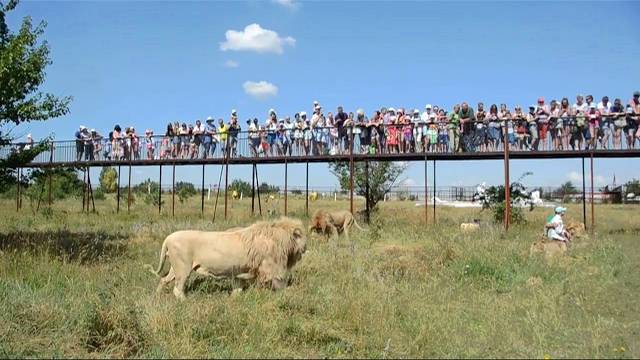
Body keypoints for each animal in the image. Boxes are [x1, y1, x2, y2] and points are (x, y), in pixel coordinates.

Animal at [146, 217, 306, 298]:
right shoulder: (271, 268)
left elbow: (238, 289)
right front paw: (286, 294)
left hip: (175, 269)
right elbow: (280, 284)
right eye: (301, 236)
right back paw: (185, 301)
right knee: (177, 289)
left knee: (163, 280)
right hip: (183, 269)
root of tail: (168, 238)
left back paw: (157, 296)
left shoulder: (239, 272)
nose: (305, 249)